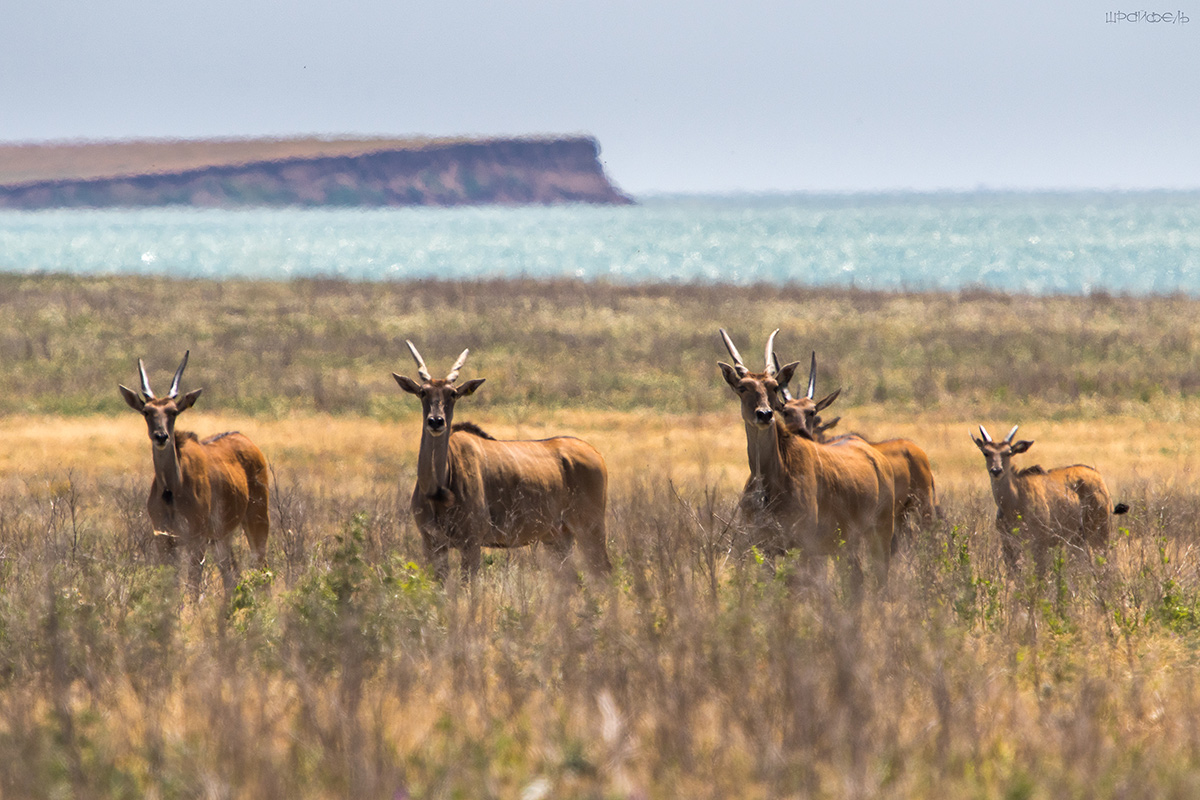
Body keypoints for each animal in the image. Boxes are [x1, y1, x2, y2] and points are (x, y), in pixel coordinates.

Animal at [118, 352, 271, 594]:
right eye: (147, 412)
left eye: (173, 412)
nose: (161, 436)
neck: (172, 490)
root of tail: (247, 440)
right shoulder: (164, 540)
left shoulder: (196, 540)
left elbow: (193, 586)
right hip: (222, 537)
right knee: (231, 577)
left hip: (258, 519)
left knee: (263, 570)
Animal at [396, 340, 609, 582]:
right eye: (423, 392)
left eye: (453, 393)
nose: (436, 421)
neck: (438, 490)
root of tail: (595, 453)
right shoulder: (432, 544)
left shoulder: (471, 543)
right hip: (557, 537)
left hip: (591, 529)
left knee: (603, 572)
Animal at [715, 328, 897, 585]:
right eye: (742, 387)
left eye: (773, 386)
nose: (764, 414)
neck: (772, 481)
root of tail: (876, 456)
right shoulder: (764, 546)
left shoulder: (802, 545)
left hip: (881, 530)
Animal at [772, 352, 940, 546]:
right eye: (786, 411)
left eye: (811, 411)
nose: (800, 432)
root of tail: (916, 450)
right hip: (901, 513)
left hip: (923, 505)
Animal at [969, 422, 1128, 573]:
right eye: (986, 452)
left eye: (1008, 453)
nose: (996, 470)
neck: (1014, 502)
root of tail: (1098, 476)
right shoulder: (1008, 545)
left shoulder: (1040, 543)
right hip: (1077, 538)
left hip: (1100, 531)